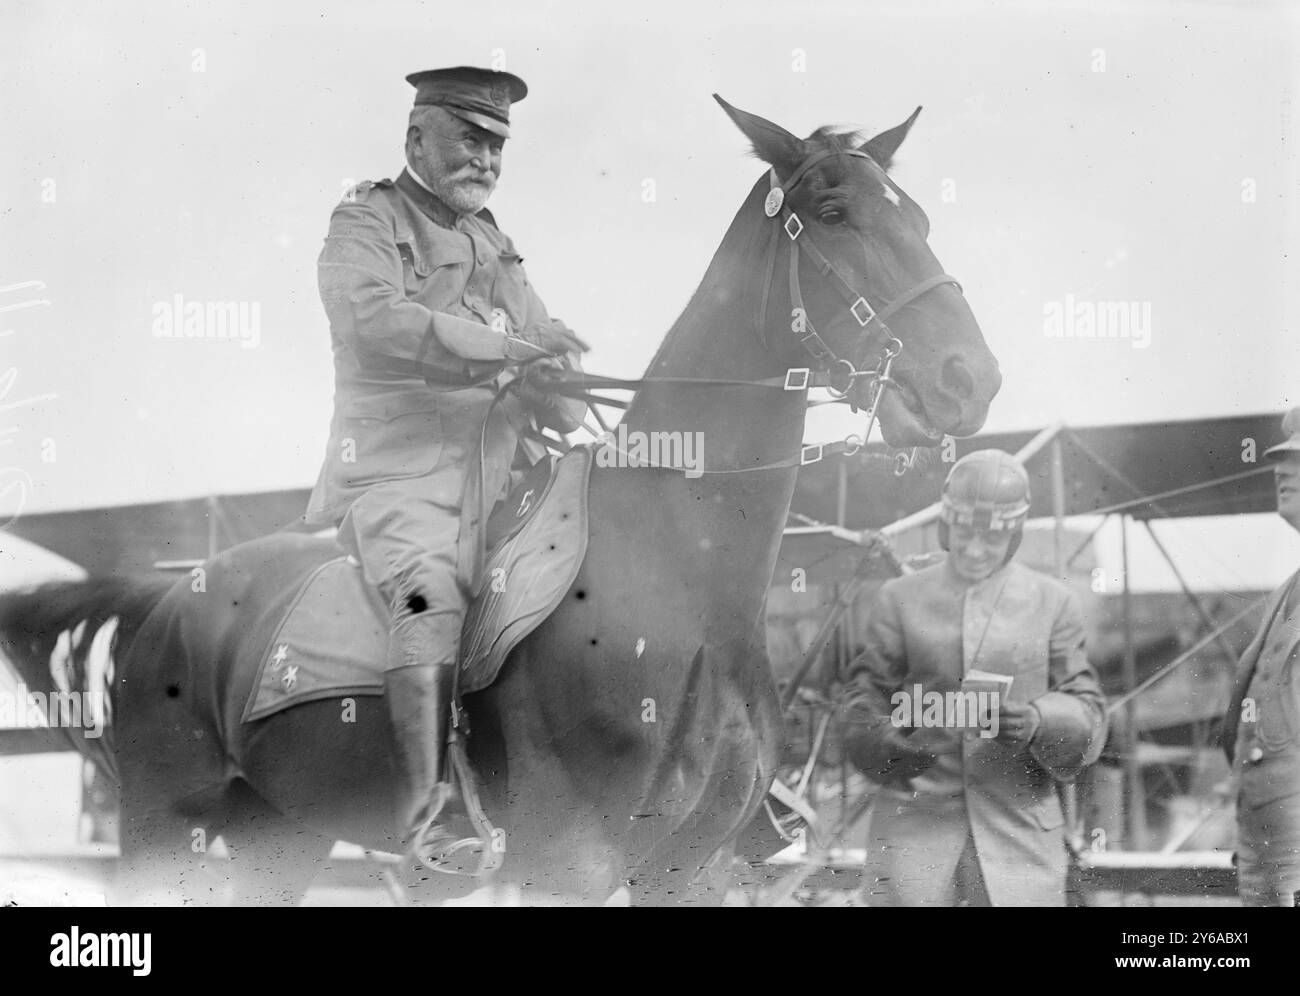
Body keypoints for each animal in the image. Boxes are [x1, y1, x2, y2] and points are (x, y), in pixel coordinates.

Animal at [0, 97, 993, 910]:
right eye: (833, 213)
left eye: (923, 219)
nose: (970, 379)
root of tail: (168, 595)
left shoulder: (691, 869)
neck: (681, 575)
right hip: (163, 826)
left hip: (278, 834)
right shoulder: (571, 862)